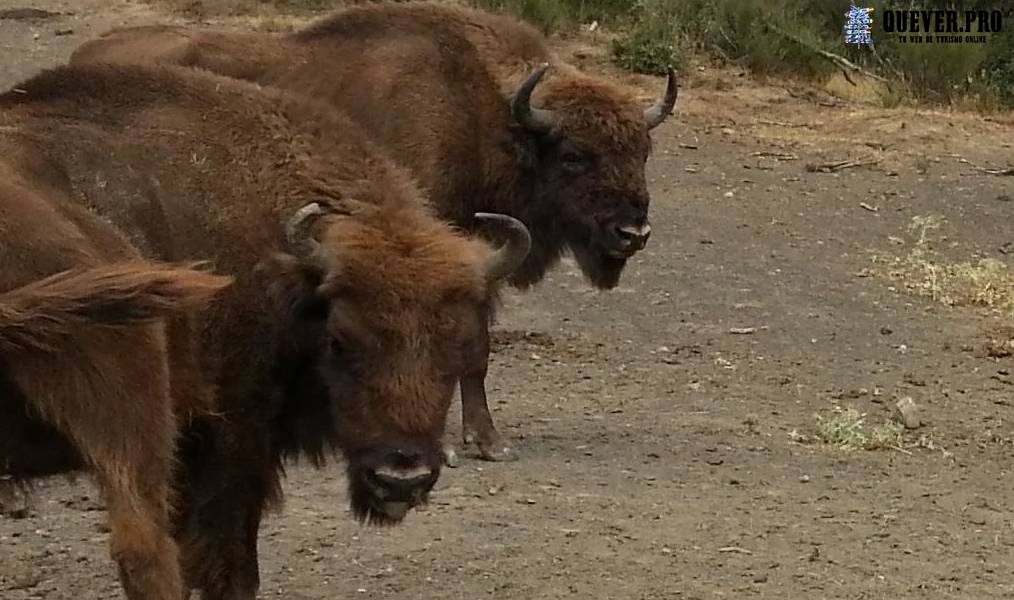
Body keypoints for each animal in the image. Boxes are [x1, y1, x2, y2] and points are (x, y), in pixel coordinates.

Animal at [3, 62, 531, 600]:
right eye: (340, 340)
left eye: (457, 345)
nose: (401, 478)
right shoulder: (232, 437)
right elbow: (229, 562)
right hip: (131, 411)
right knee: (144, 548)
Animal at [73, 0, 681, 464]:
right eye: (576, 156)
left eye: (643, 151)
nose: (634, 232)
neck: (483, 116)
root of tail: (86, 55)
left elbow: (476, 347)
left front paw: (486, 441)